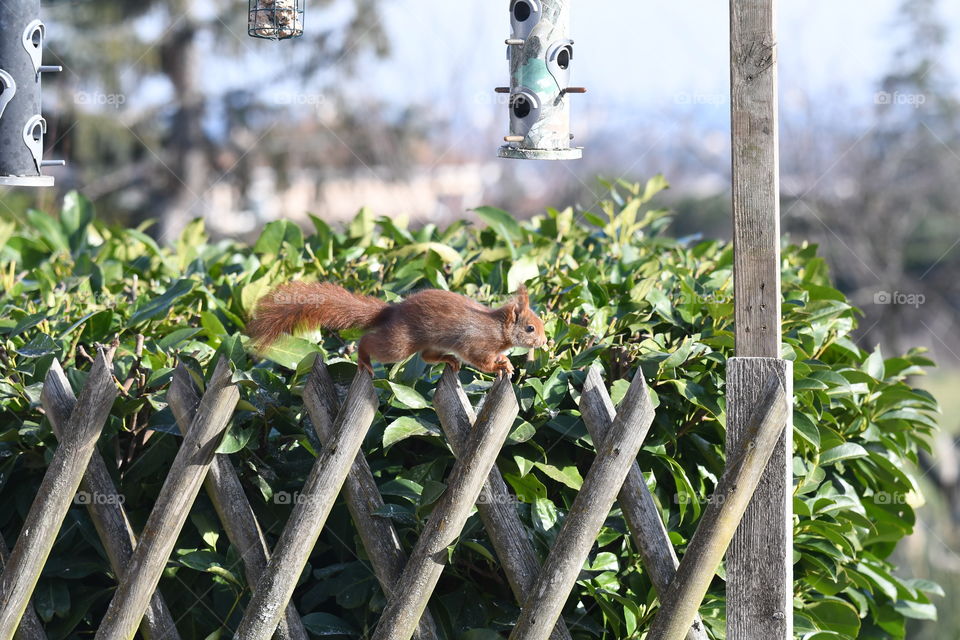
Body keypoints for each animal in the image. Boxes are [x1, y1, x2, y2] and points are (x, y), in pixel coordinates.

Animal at [246, 281, 548, 376]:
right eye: (530, 329)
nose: (545, 343)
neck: (497, 328)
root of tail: (393, 310)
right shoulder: (477, 343)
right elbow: (481, 361)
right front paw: (500, 365)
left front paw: (507, 361)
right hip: (399, 343)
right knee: (369, 342)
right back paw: (364, 361)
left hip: (428, 342)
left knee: (427, 356)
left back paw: (449, 360)